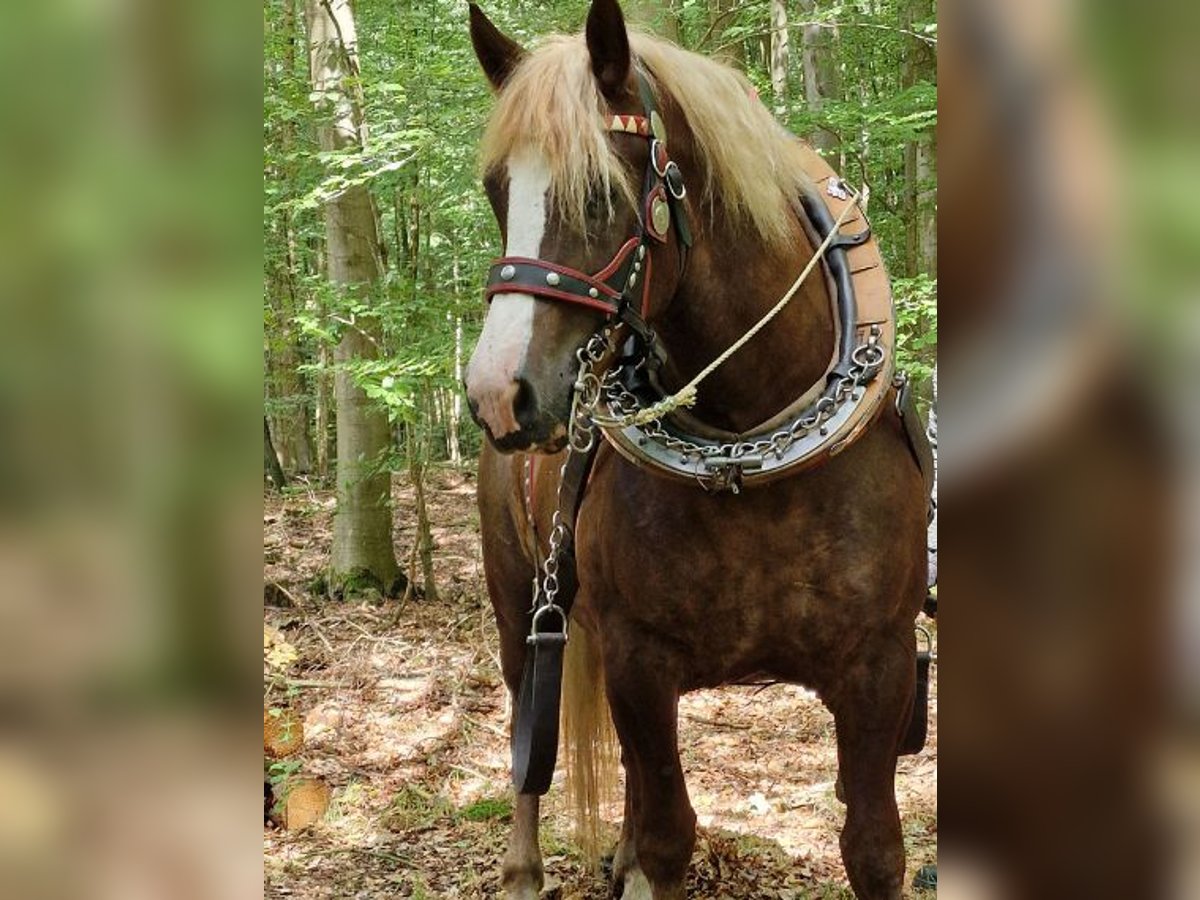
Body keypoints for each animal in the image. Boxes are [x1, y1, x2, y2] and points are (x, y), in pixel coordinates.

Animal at [460, 3, 926, 897]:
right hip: (519, 603)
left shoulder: (880, 666)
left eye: (600, 191)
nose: (499, 393)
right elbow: (670, 835)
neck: (748, 455)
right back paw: (524, 869)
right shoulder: (640, 660)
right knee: (528, 718)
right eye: (497, 191)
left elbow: (876, 850)